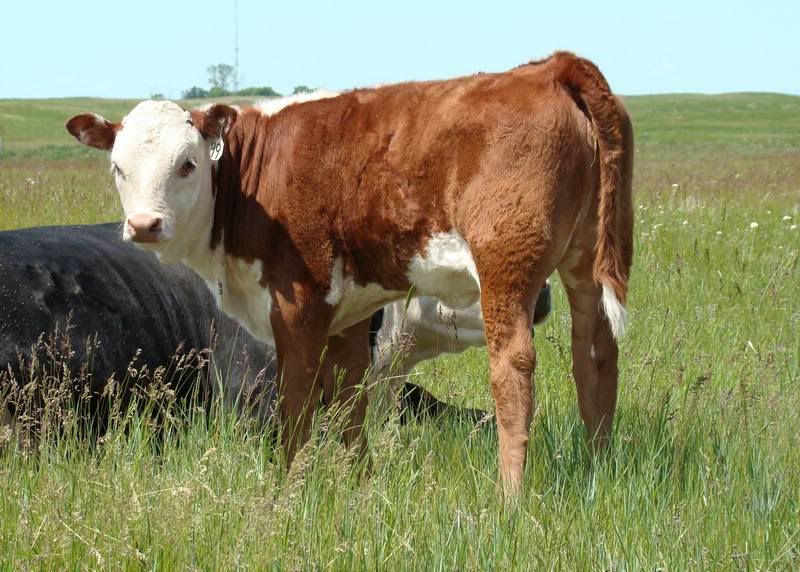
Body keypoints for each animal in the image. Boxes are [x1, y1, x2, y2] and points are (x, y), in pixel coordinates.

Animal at [66, 51, 634, 494]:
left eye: (187, 163)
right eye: (118, 167)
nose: (145, 224)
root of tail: (550, 68)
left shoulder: (297, 303)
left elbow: (297, 402)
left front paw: (288, 491)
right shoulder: (351, 309)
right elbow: (349, 397)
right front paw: (358, 483)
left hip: (506, 265)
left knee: (513, 368)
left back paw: (509, 494)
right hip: (586, 261)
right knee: (595, 355)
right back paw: (598, 469)